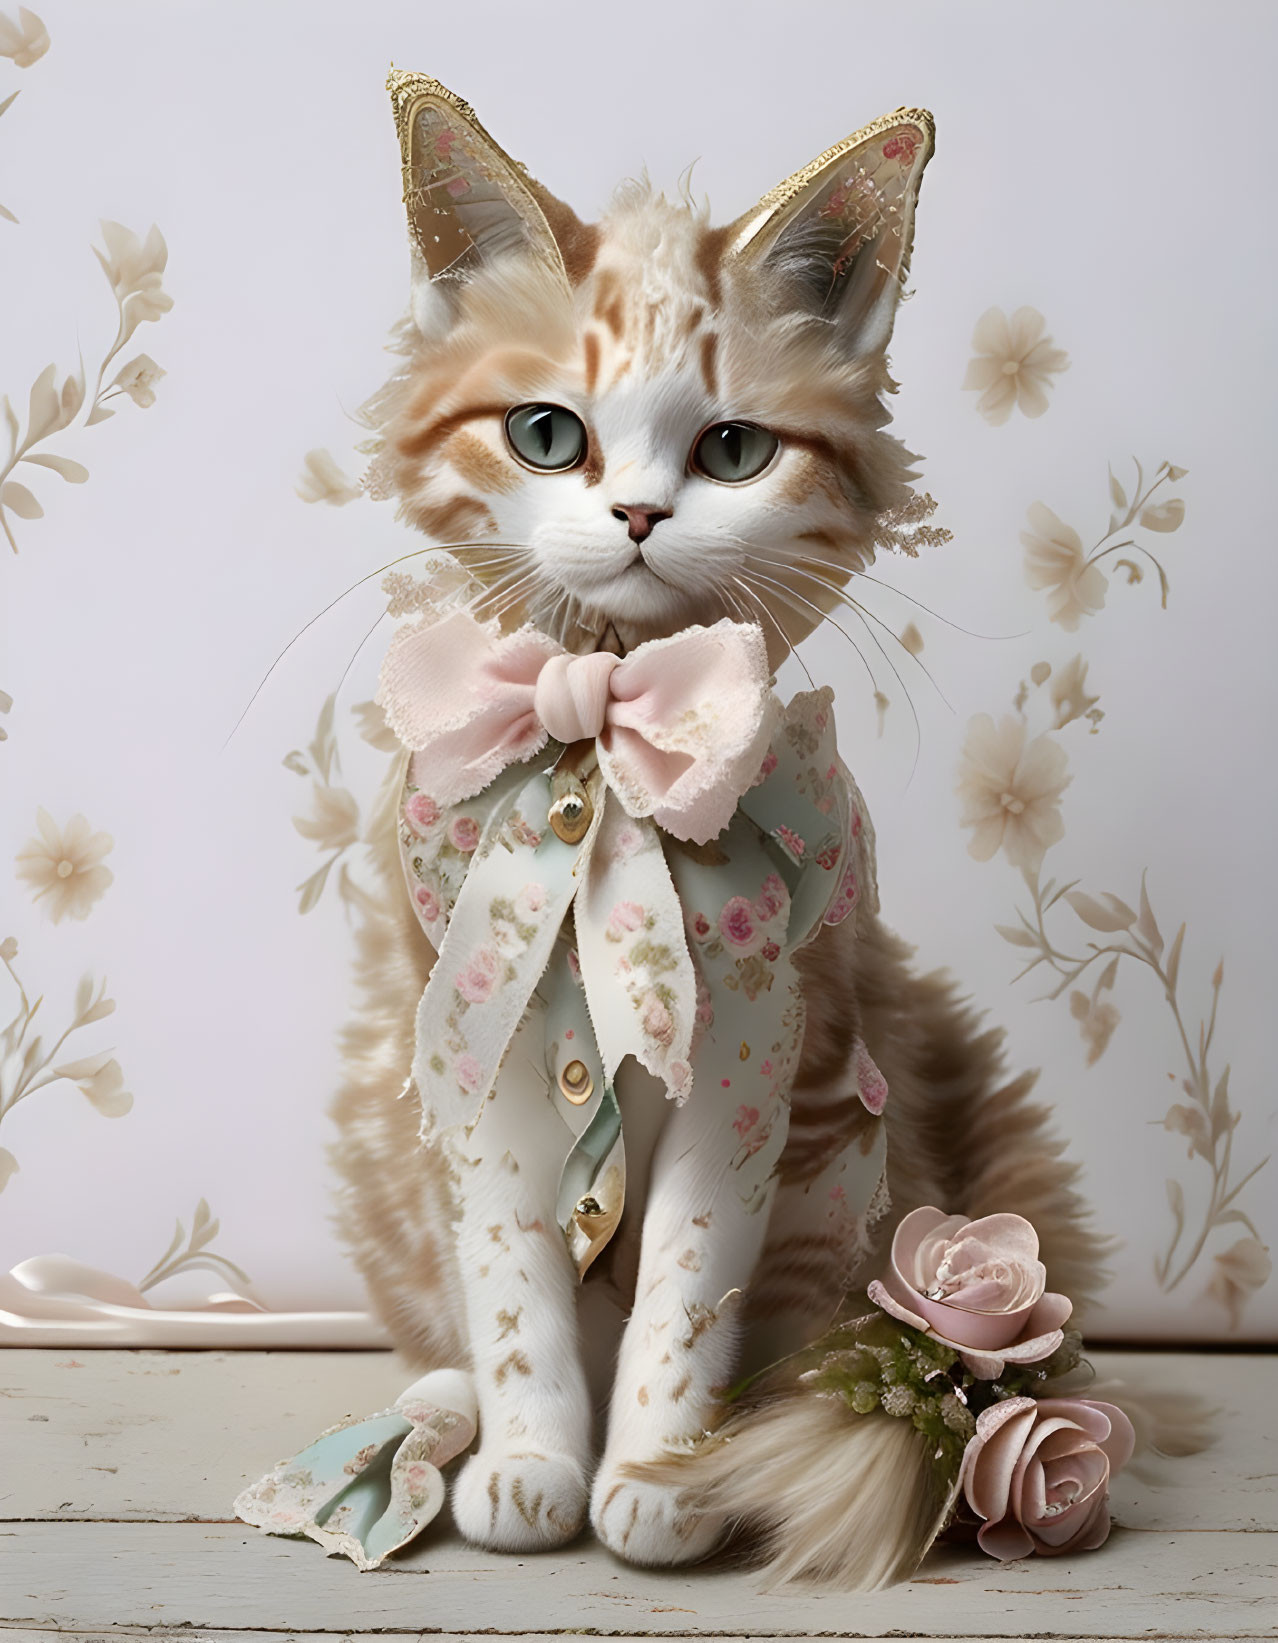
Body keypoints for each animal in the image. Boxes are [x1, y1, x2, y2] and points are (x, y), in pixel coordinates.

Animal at [331, 70, 1103, 1583]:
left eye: (734, 448)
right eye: (547, 432)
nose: (636, 510)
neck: (603, 755)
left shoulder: (760, 1045)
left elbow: (686, 1285)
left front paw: (659, 1472)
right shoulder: (478, 1038)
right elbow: (511, 1279)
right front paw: (532, 1455)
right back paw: (442, 1411)